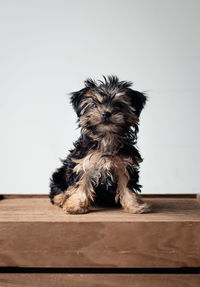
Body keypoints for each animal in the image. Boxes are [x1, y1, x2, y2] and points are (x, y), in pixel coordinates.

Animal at [49, 75, 150, 215]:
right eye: (95, 105)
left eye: (119, 105)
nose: (106, 113)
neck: (106, 138)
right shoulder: (83, 164)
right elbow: (81, 184)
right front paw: (75, 205)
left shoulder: (125, 166)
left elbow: (127, 186)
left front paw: (134, 205)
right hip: (60, 174)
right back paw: (61, 198)